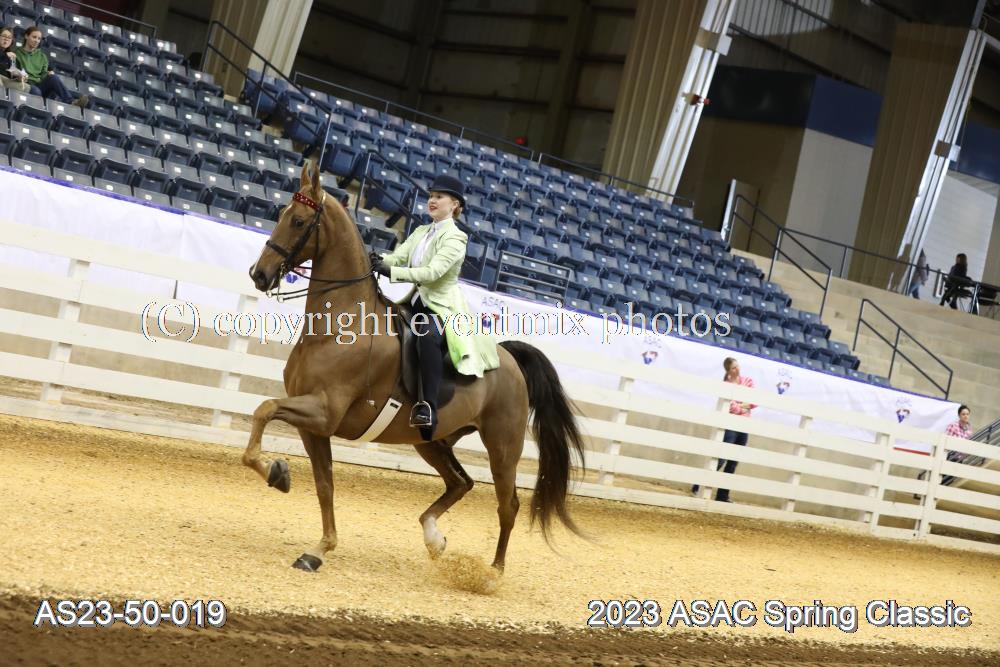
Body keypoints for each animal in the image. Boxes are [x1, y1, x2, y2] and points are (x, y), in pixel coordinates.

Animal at [244, 162, 585, 573]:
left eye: (297, 220)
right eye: (281, 213)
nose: (259, 274)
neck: (339, 329)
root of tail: (508, 358)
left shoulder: (324, 411)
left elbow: (264, 409)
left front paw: (276, 473)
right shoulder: (314, 426)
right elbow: (324, 485)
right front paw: (316, 547)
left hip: (503, 447)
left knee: (508, 505)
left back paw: (493, 573)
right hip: (433, 440)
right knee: (461, 483)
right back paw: (434, 538)